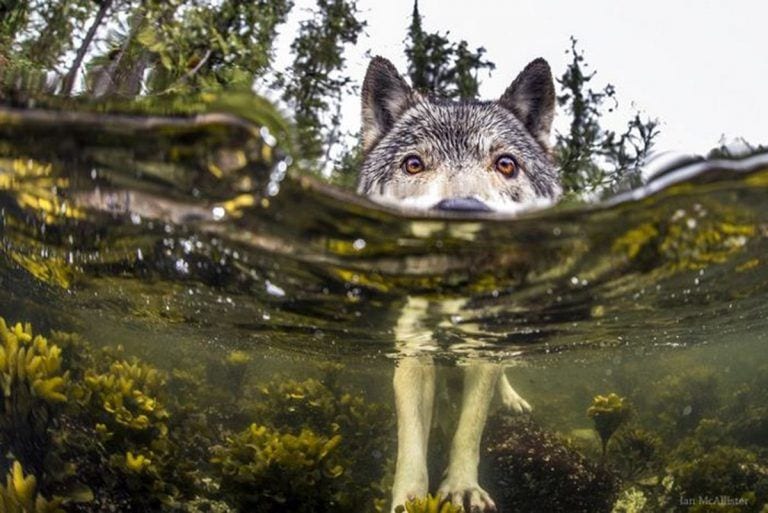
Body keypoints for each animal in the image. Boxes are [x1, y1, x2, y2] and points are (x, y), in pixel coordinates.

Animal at [357, 56, 560, 512]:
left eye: (506, 164)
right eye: (414, 164)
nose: (463, 212)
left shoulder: (482, 351)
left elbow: (470, 428)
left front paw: (463, 489)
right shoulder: (413, 352)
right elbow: (411, 441)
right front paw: (410, 499)